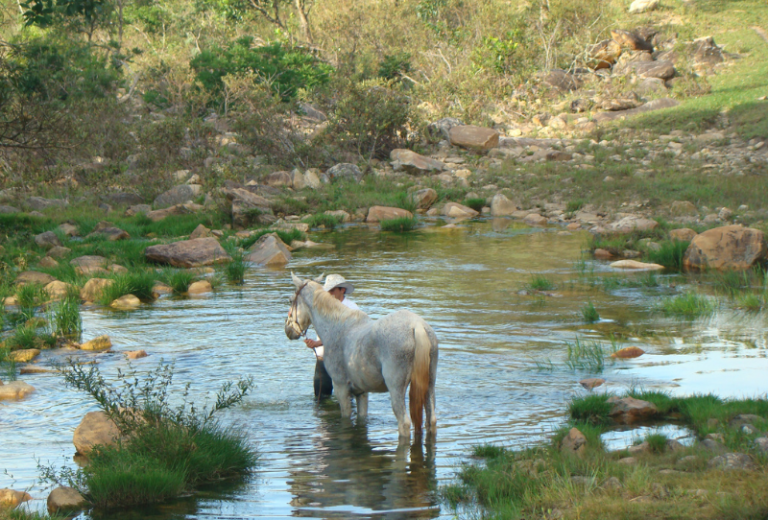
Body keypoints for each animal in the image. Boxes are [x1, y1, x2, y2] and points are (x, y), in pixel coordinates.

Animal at [284, 274, 438, 440]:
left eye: (291, 300)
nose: (288, 329)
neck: (336, 327)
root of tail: (417, 326)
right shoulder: (361, 392)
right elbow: (361, 420)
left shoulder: (341, 389)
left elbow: (346, 420)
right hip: (429, 386)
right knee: (431, 420)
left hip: (396, 389)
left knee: (404, 423)